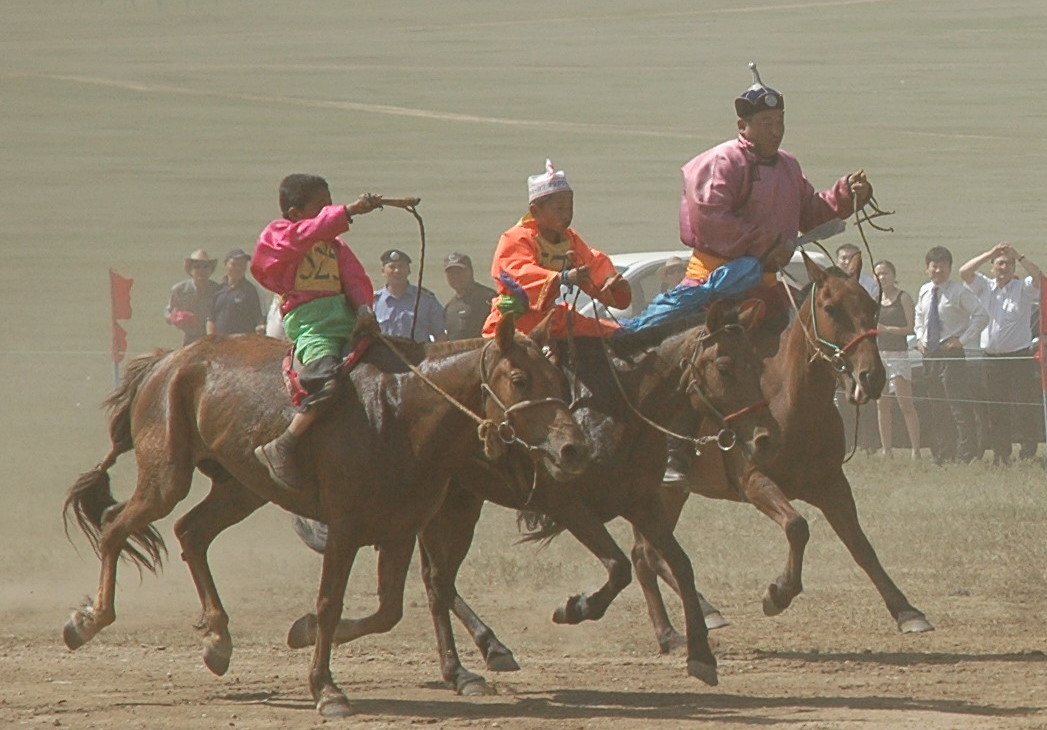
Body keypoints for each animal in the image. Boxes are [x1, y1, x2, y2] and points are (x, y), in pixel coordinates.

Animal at [63, 314, 590, 716]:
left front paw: (304, 632)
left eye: (560, 379)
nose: (572, 449)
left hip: (241, 488)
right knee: (116, 527)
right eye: (520, 380)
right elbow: (331, 602)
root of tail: (168, 361)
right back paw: (88, 621)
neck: (403, 413)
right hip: (165, 478)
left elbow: (389, 610)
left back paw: (217, 638)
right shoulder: (345, 528)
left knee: (191, 532)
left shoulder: (401, 530)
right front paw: (326, 688)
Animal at [291, 299, 783, 691]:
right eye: (725, 367)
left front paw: (701, 654)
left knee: (438, 579)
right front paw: (576, 608)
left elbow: (678, 563)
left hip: (457, 503)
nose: (764, 438)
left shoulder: (642, 502)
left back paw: (486, 649)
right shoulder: (564, 502)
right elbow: (618, 566)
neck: (620, 408)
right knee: (435, 580)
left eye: (759, 365)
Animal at [628, 252, 933, 653]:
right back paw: (675, 630)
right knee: (645, 554)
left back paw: (705, 612)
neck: (791, 399)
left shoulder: (832, 484)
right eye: (831, 308)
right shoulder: (754, 481)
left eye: (872, 306)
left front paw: (907, 611)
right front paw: (778, 593)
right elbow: (797, 526)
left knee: (648, 552)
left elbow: (860, 546)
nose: (872, 376)